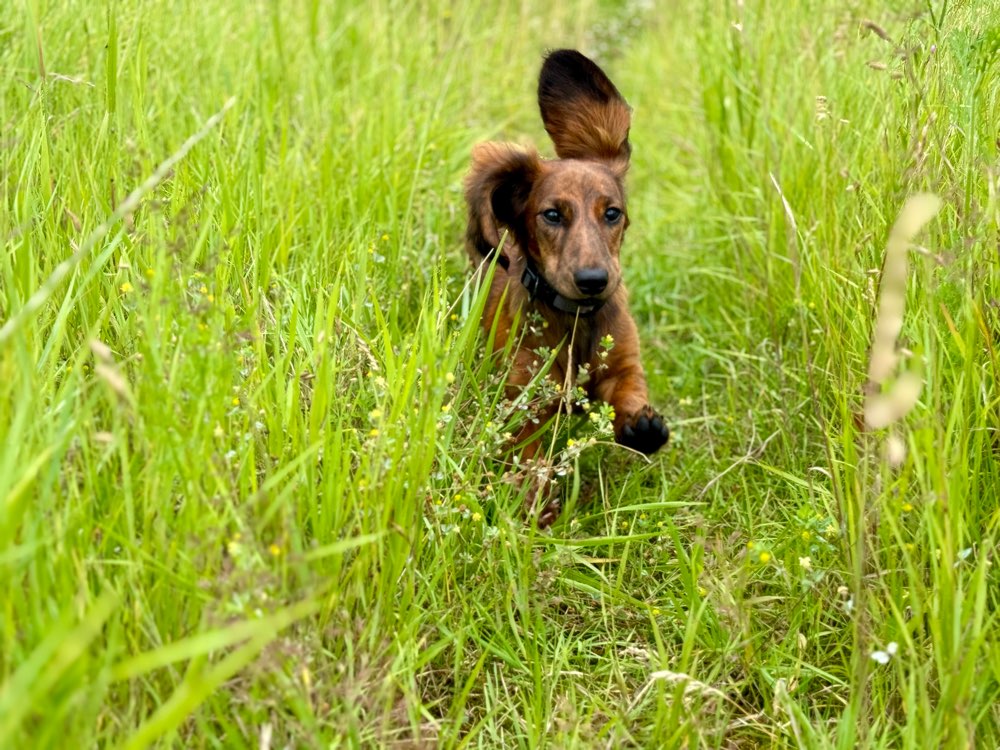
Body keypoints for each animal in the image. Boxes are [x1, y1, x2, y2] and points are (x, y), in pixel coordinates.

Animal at [462, 50, 668, 524]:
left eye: (612, 213)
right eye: (552, 215)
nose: (594, 281)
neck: (576, 321)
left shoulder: (623, 363)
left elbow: (629, 390)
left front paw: (641, 426)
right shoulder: (527, 404)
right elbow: (531, 457)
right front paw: (537, 504)